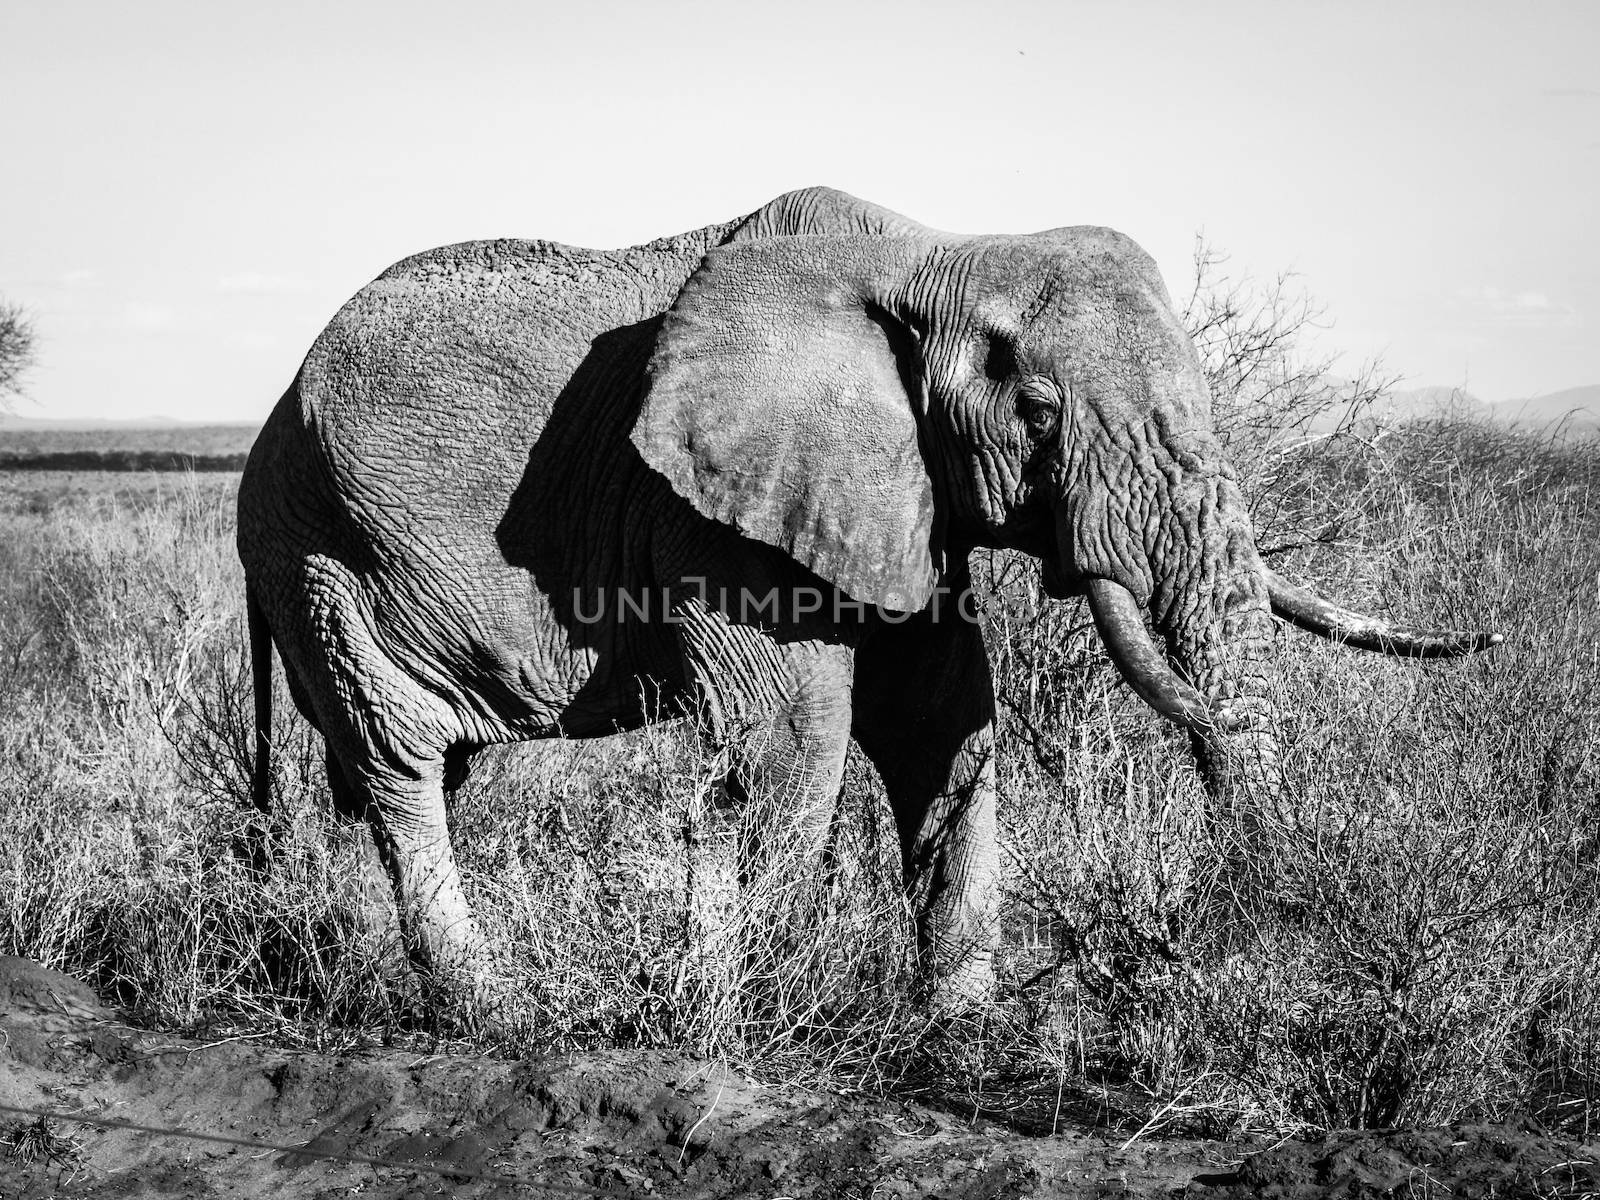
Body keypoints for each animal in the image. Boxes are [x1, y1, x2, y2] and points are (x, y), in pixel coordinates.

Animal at [236, 188, 1497, 1017]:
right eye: (1039, 412)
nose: (1184, 940)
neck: (935, 250)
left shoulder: (896, 502)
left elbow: (944, 719)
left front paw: (962, 1032)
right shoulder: (717, 513)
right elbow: (794, 740)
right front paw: (749, 1019)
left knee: (401, 773)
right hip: (323, 554)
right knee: (401, 766)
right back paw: (489, 1012)